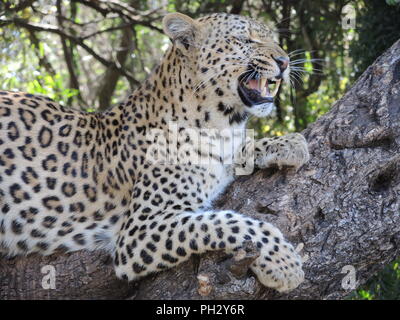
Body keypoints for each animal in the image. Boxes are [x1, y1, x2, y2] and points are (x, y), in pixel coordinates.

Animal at [0, 11, 310, 292]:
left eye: (272, 39)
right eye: (245, 39)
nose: (284, 61)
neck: (220, 123)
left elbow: (245, 148)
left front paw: (290, 144)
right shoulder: (139, 231)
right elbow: (227, 223)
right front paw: (282, 262)